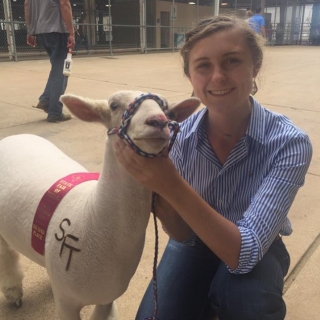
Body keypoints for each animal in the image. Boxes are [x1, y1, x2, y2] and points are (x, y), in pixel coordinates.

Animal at [0, 90, 200, 320]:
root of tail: (16, 136)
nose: (158, 121)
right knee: (6, 254)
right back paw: (13, 292)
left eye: (167, 109)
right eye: (113, 105)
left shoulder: (107, 296)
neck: (92, 216)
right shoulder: (67, 304)